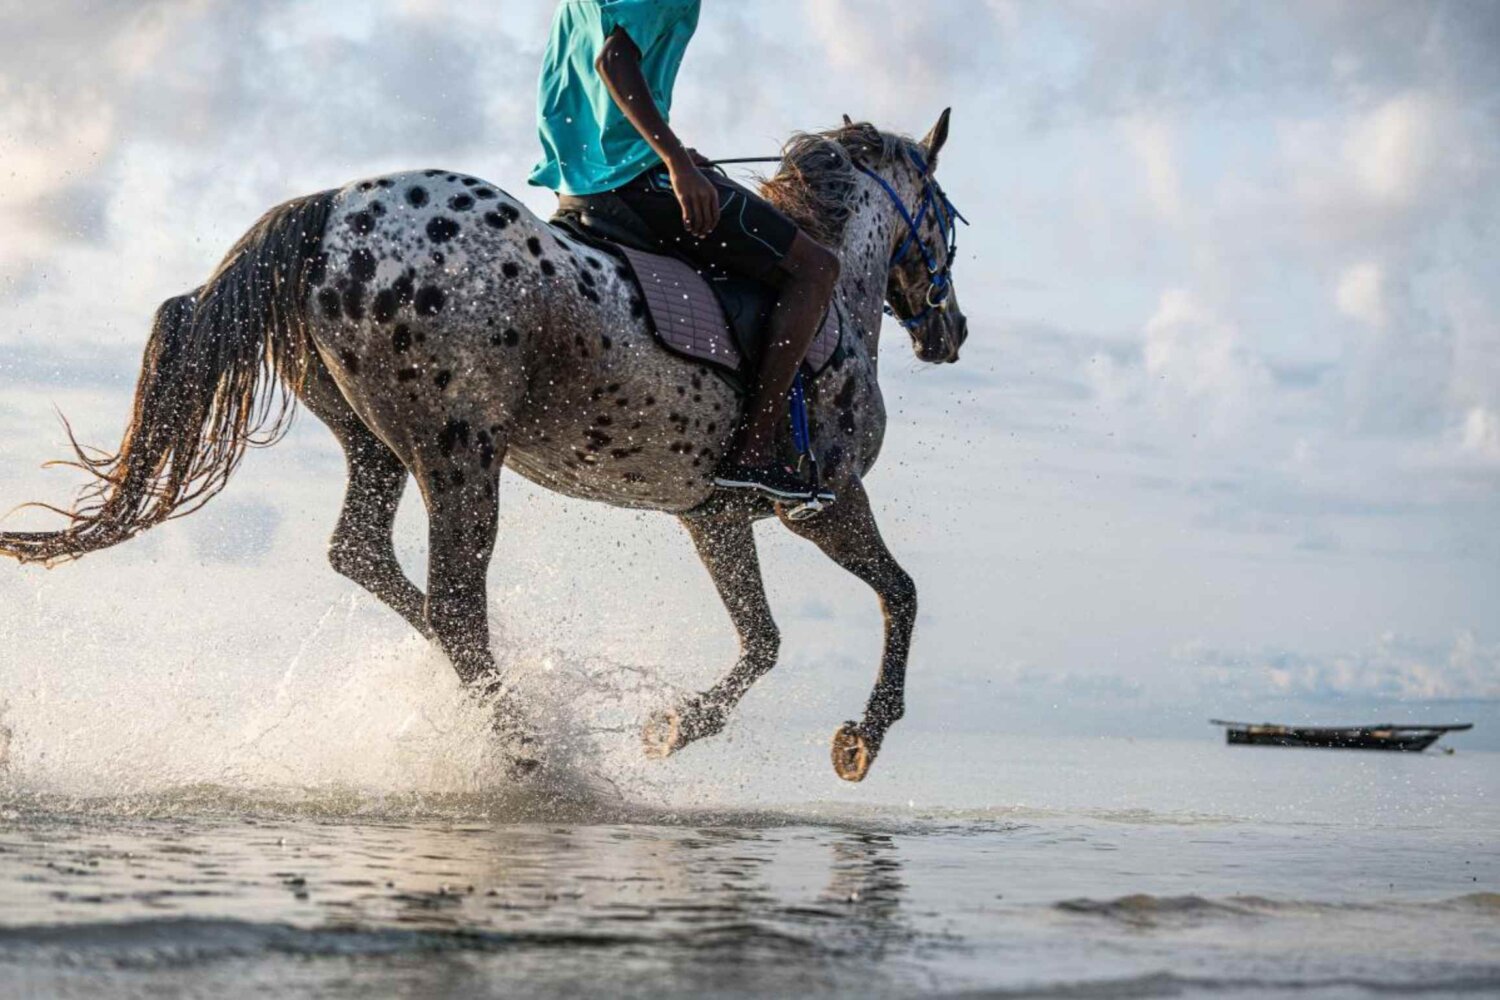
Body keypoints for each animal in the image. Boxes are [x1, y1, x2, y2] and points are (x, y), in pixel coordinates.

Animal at [0, 112, 968, 782]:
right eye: (951, 224)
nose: (950, 331)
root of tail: (331, 209)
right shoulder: (827, 503)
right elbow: (903, 595)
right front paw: (863, 738)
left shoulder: (714, 518)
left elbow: (763, 639)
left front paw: (671, 727)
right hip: (461, 453)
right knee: (455, 602)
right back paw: (524, 745)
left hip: (380, 443)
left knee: (368, 555)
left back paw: (500, 697)